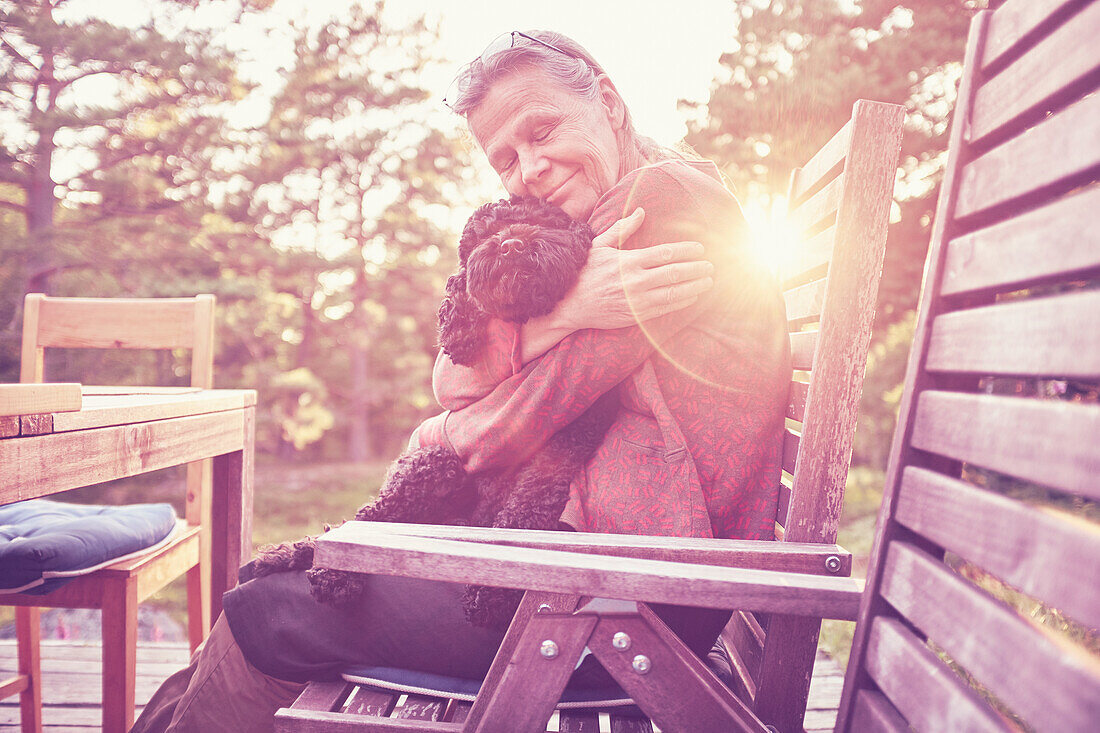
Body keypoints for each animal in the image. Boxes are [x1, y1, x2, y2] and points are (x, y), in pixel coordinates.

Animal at [253, 195, 620, 629]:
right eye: (485, 235)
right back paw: (333, 572)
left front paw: (492, 590)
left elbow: (523, 514)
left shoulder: (555, 454)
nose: (511, 245)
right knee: (364, 519)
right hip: (433, 463)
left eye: (540, 221)